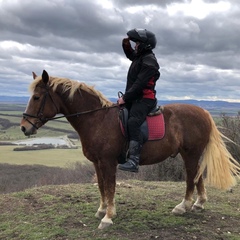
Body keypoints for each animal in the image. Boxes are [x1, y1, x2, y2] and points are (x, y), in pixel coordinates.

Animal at [19, 70, 239, 230]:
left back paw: (183, 206)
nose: (24, 128)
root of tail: (203, 112)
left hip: (190, 153)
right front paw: (101, 210)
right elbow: (101, 186)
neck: (96, 119)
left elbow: (110, 187)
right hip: (190, 153)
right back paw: (199, 204)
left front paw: (108, 217)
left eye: (37, 97)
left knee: (191, 176)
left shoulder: (108, 162)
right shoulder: (97, 162)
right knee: (197, 175)